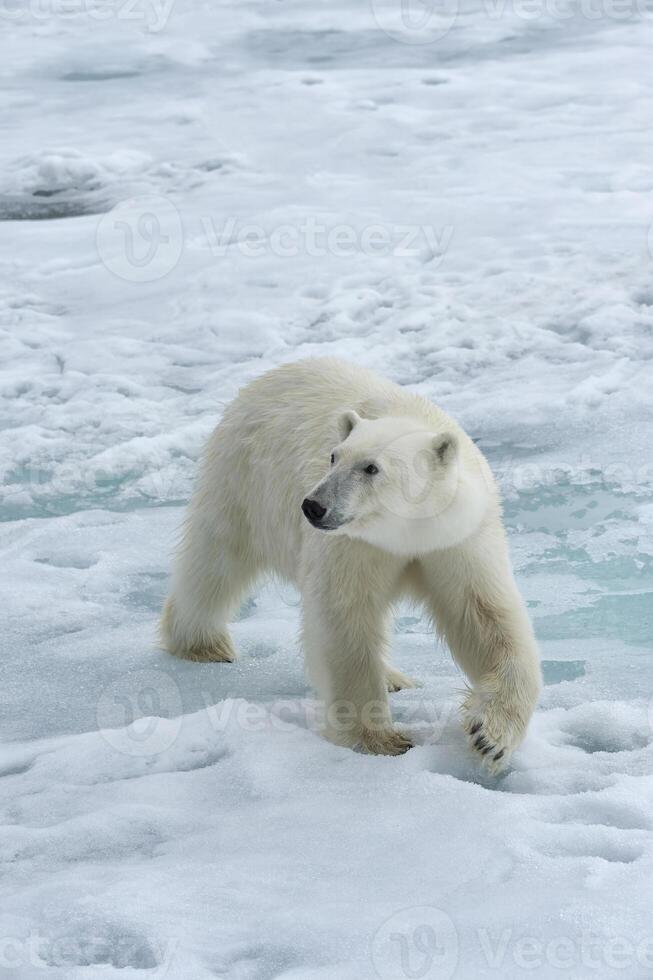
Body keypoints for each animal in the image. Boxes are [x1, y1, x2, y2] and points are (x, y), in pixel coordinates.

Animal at [162, 356, 540, 768]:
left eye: (371, 468)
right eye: (333, 456)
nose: (313, 506)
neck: (404, 531)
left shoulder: (455, 539)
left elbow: (484, 618)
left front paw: (490, 736)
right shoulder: (352, 546)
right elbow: (345, 619)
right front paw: (380, 740)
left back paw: (393, 677)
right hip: (243, 480)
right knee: (216, 561)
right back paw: (203, 643)